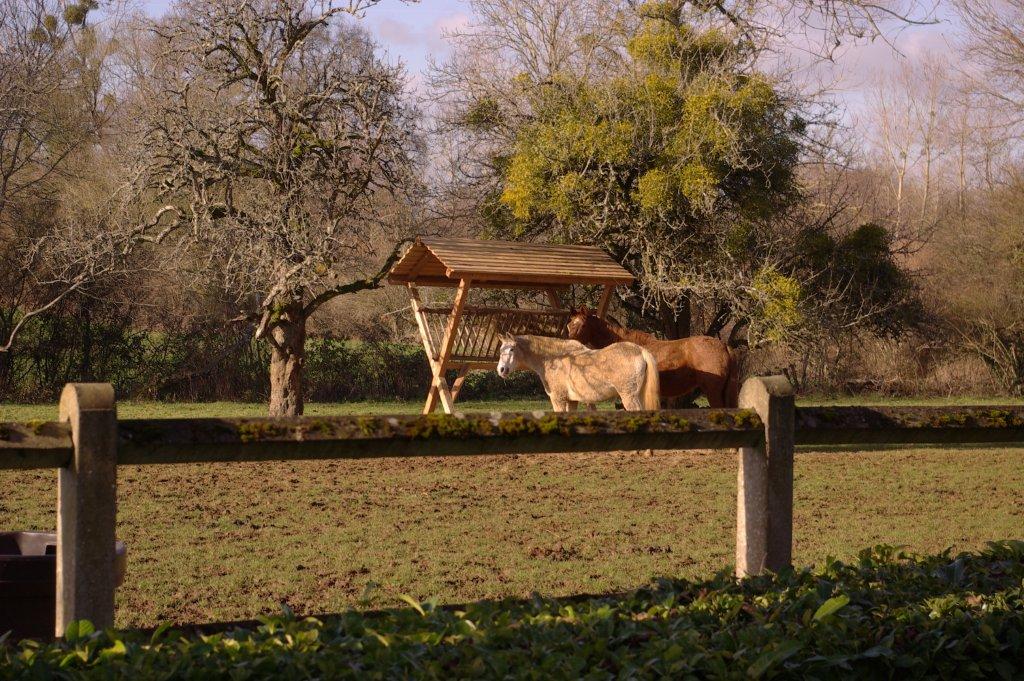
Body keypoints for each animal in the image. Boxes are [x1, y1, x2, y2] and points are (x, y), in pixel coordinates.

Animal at [495, 334, 661, 412]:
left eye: (512, 349)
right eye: (501, 349)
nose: (501, 369)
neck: (555, 358)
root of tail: (640, 350)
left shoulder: (558, 399)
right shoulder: (572, 401)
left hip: (629, 397)